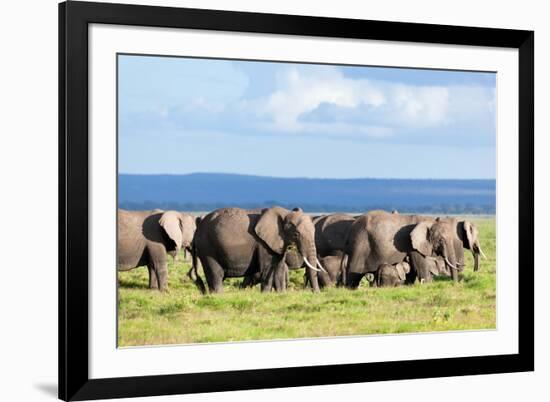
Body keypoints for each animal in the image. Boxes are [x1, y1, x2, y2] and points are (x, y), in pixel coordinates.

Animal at [192, 207, 326, 292]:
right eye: (296, 234)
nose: (316, 293)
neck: (284, 212)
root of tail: (199, 224)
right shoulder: (263, 244)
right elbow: (267, 269)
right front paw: (265, 294)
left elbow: (279, 269)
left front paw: (280, 295)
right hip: (207, 247)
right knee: (215, 275)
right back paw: (218, 295)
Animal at [344, 212, 488, 288]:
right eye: (440, 240)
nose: (455, 284)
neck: (428, 221)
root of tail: (351, 227)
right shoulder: (412, 244)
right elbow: (420, 263)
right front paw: (428, 284)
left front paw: (409, 285)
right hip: (360, 244)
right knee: (353, 274)